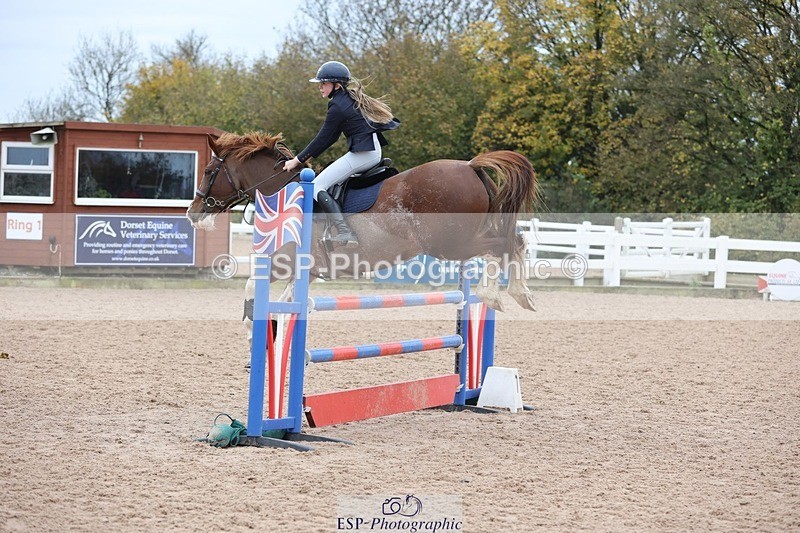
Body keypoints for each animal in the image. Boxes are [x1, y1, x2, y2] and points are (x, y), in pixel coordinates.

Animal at [186, 131, 539, 313]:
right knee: (516, 241)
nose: (193, 212)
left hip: (449, 244)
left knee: (501, 245)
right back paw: (522, 295)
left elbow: (250, 287)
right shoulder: (306, 271)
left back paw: (494, 295)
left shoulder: (283, 262)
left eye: (209, 171)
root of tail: (470, 166)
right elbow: (288, 303)